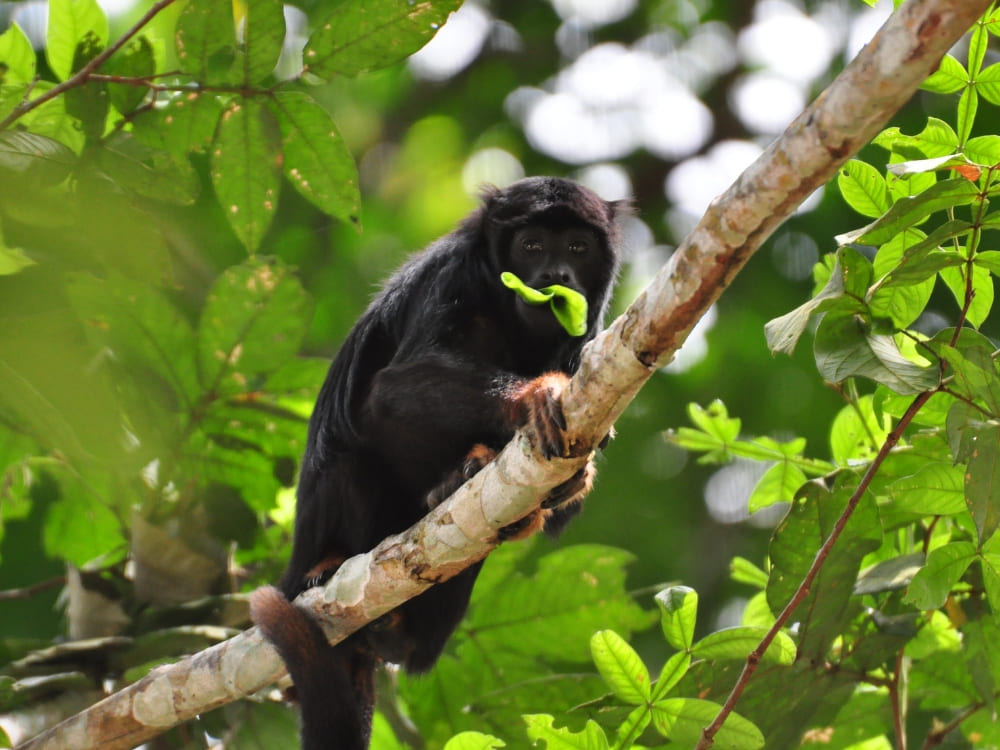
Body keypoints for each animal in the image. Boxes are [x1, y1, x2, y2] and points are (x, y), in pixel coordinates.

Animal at [250, 177, 625, 750]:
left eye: (578, 248)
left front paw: (574, 481)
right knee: (353, 461)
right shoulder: (454, 276)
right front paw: (533, 396)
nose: (555, 276)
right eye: (531, 246)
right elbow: (391, 390)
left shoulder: (589, 337)